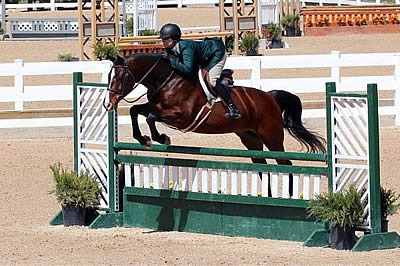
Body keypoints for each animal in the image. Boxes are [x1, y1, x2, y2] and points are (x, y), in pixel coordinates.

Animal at [104, 54, 326, 195]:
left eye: (121, 76)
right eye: (109, 76)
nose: (109, 103)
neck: (167, 80)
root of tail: (270, 96)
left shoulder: (181, 116)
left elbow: (150, 117)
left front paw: (160, 138)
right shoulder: (155, 106)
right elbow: (136, 111)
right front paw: (143, 139)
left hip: (272, 137)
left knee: (286, 165)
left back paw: (292, 195)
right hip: (251, 139)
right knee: (262, 167)